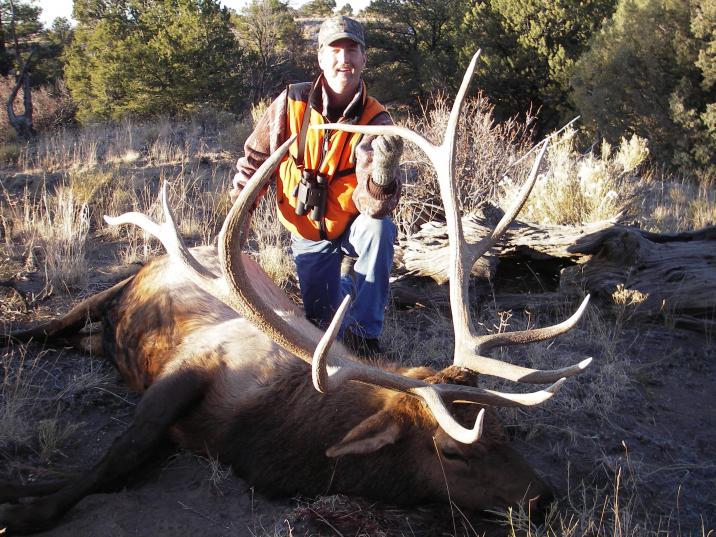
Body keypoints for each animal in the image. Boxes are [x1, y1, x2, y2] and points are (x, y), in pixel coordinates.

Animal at [0, 51, 592, 535]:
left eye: (504, 431)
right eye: (452, 451)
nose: (543, 498)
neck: (257, 433)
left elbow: (122, 464)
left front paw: (25, 488)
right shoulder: (192, 365)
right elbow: (118, 457)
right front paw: (24, 507)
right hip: (115, 287)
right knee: (52, 324)